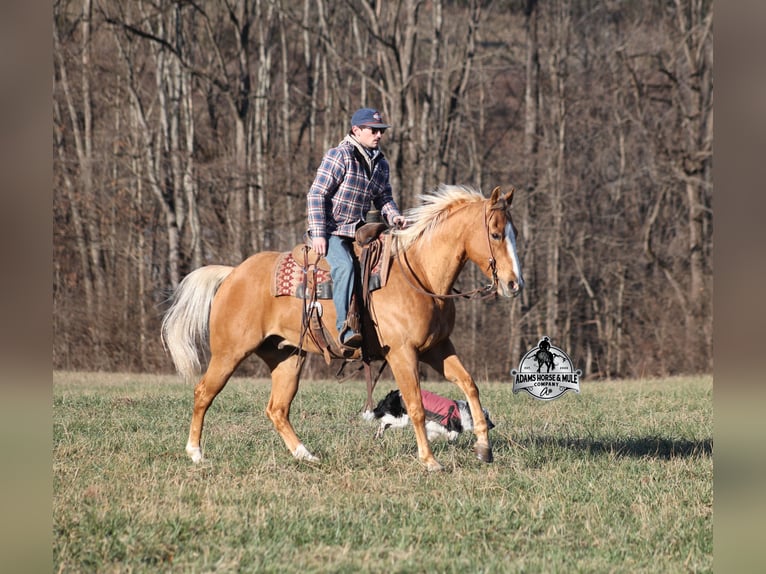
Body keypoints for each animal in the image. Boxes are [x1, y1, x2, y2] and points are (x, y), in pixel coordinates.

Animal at [161, 184, 524, 471]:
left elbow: (469, 385)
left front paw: (483, 448)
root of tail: (233, 273)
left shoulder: (437, 348)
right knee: (203, 393)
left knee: (277, 408)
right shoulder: (403, 353)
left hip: (287, 357)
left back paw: (305, 455)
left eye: (514, 234)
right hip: (230, 352)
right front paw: (430, 461)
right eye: (495, 234)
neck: (419, 274)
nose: (513, 284)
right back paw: (196, 453)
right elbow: (416, 406)